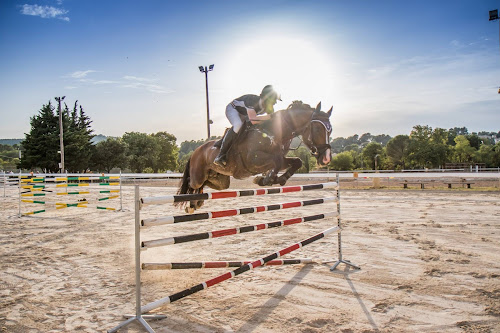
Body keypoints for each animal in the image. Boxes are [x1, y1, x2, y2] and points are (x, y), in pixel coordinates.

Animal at [176, 100, 332, 211]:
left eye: (330, 131)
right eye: (318, 129)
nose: (326, 159)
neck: (272, 132)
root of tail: (195, 151)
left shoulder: (279, 159)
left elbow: (296, 162)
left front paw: (276, 179)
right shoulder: (253, 161)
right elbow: (275, 162)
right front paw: (265, 180)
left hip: (221, 182)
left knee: (205, 184)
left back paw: (197, 202)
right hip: (198, 175)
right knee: (191, 182)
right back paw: (192, 202)